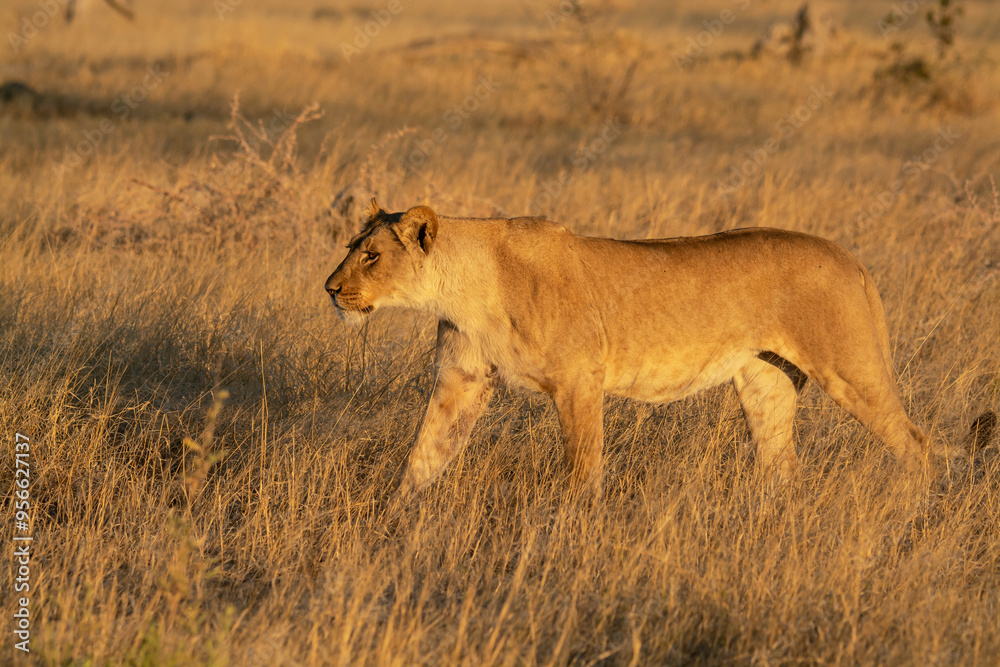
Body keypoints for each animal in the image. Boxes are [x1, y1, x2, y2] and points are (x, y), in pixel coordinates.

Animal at [324, 199, 935, 496]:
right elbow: (423, 458)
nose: (329, 288)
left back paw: (910, 514)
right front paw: (393, 527)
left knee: (916, 443)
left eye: (372, 256)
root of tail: (848, 256)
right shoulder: (461, 382)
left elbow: (583, 471)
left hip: (850, 366)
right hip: (766, 381)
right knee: (780, 463)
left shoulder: (580, 381)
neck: (466, 288)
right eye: (352, 246)